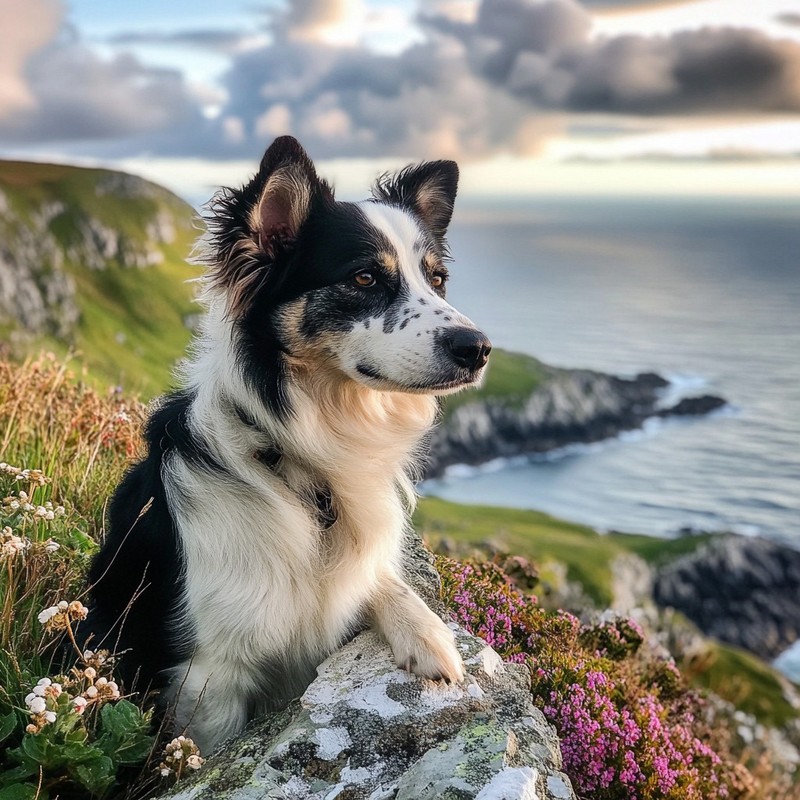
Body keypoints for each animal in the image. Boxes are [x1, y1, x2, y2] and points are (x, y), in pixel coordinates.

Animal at [84, 134, 490, 752]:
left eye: (437, 279)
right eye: (364, 278)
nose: (479, 348)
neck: (301, 461)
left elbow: (379, 579)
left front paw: (428, 633)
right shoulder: (212, 671)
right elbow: (206, 751)